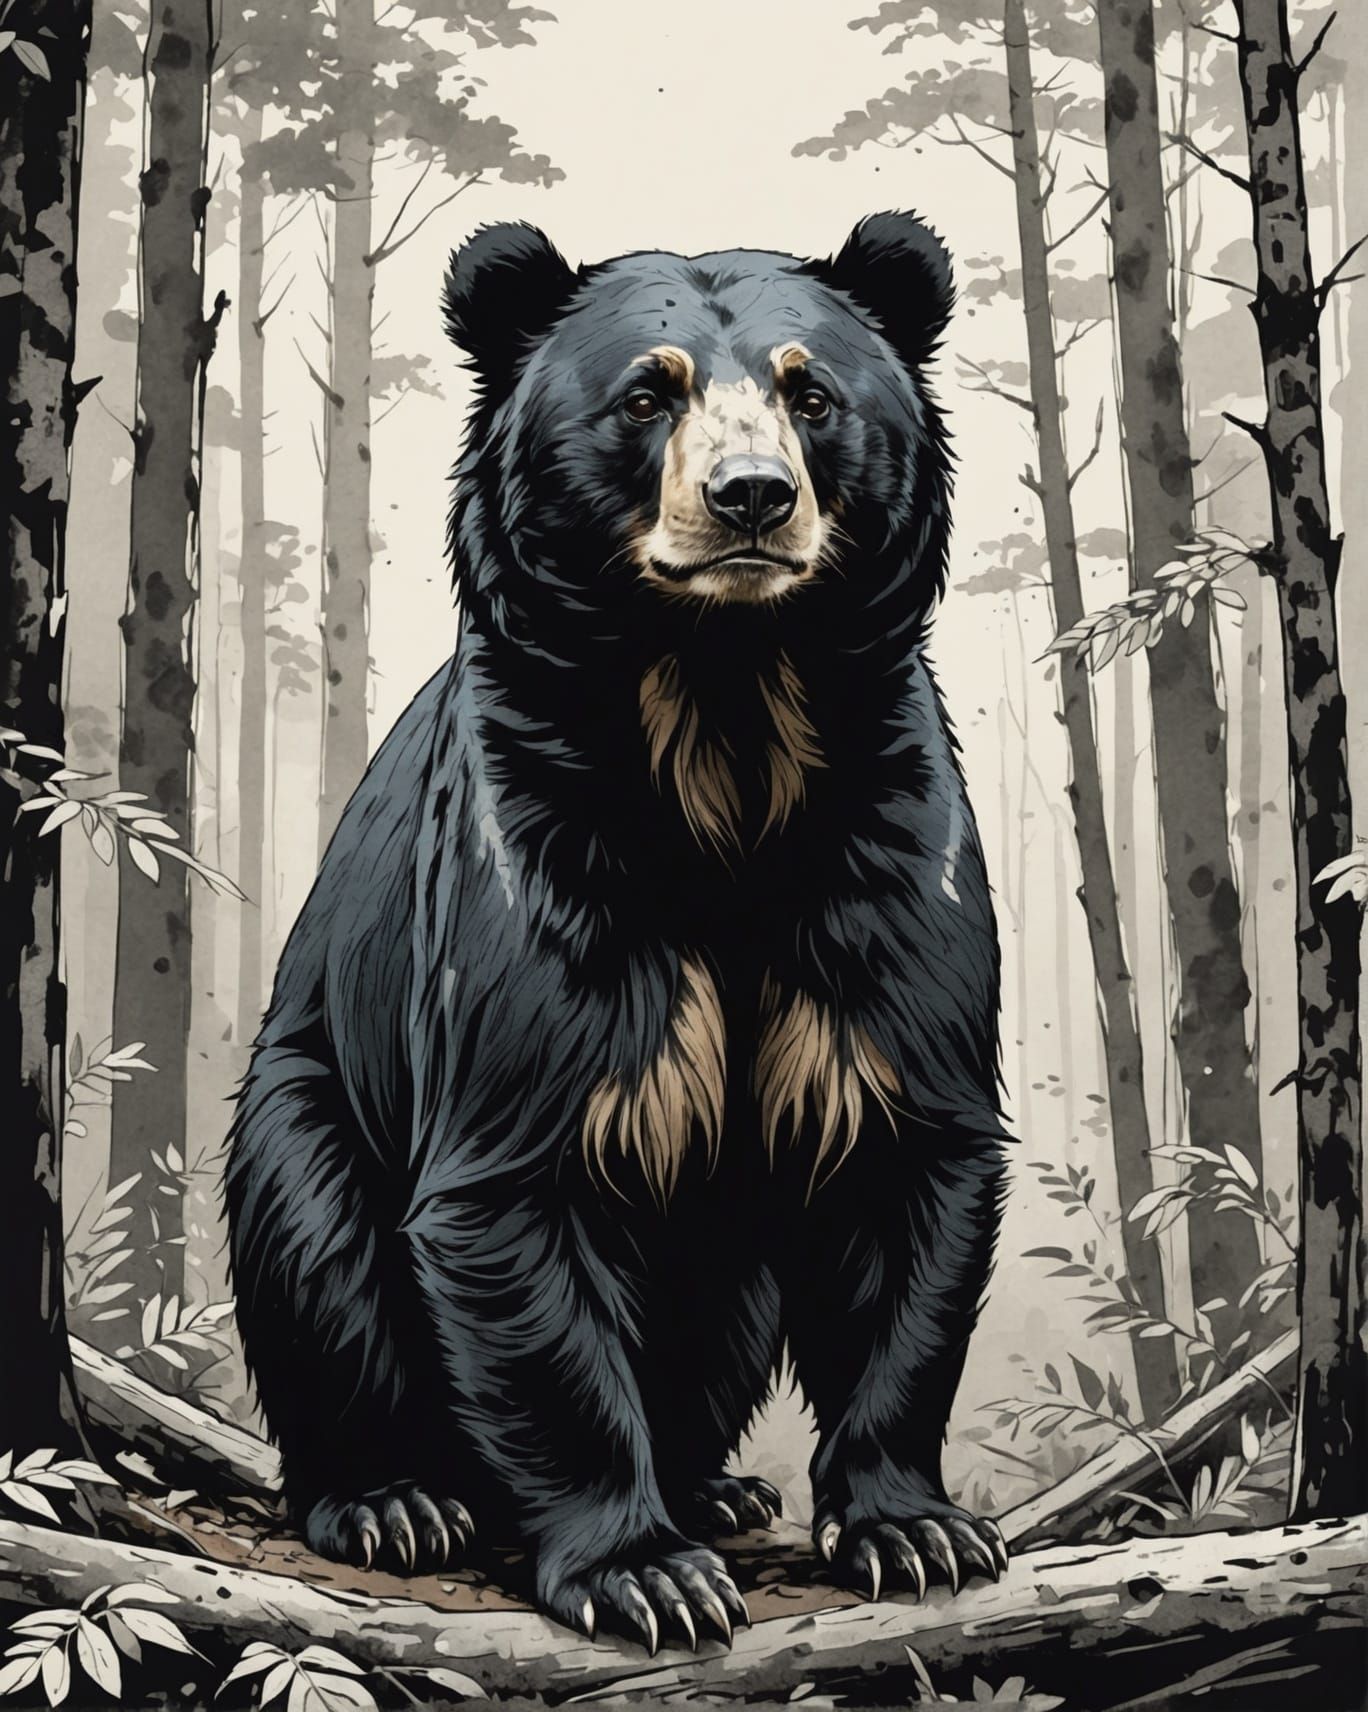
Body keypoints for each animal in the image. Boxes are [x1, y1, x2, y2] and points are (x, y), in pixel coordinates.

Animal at [226, 210, 1011, 1652]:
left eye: (812, 393)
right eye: (650, 393)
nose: (752, 495)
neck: (724, 712)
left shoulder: (888, 849)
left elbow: (907, 1166)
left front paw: (915, 1527)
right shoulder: (534, 869)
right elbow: (512, 1189)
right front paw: (641, 1571)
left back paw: (714, 1487)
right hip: (303, 1101)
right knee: (317, 1254)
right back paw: (397, 1498)